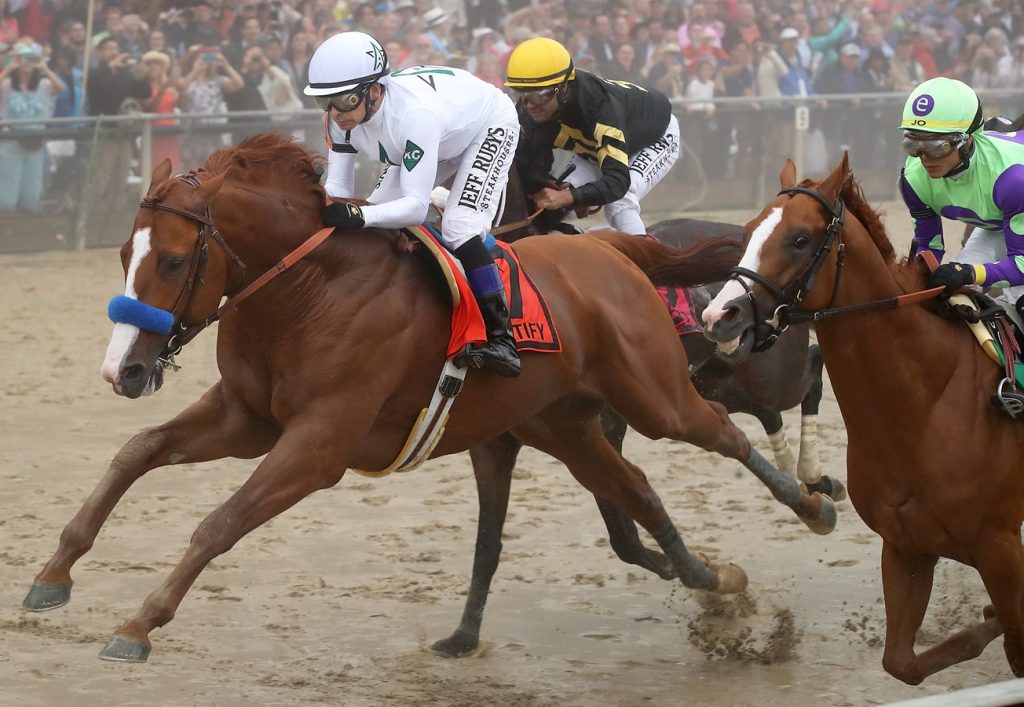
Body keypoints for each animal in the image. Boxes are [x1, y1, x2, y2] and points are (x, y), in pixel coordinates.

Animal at [24, 135, 835, 663]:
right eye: (122, 253)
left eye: (170, 260)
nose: (123, 370)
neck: (307, 291)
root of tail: (609, 249)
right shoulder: (248, 418)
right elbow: (137, 452)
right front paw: (52, 575)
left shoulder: (317, 444)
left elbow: (217, 523)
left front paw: (139, 624)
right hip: (566, 425)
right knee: (636, 489)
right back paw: (715, 580)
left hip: (655, 397)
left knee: (728, 431)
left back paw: (812, 501)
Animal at [700, 152, 1024, 676]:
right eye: (748, 230)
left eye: (799, 238)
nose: (718, 316)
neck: (922, 410)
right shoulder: (906, 546)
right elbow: (901, 662)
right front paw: (983, 624)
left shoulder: (999, 548)